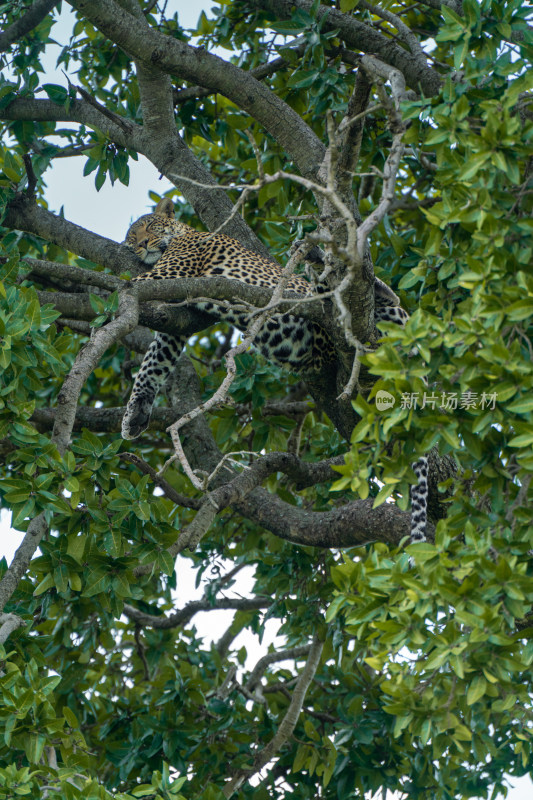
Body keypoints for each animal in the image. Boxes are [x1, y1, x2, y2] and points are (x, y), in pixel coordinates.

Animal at [118, 197, 426, 544]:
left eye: (150, 227)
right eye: (131, 237)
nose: (141, 245)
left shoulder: (169, 273)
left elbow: (122, 288)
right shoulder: (174, 325)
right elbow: (152, 365)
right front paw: (135, 414)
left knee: (378, 299)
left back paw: (327, 263)